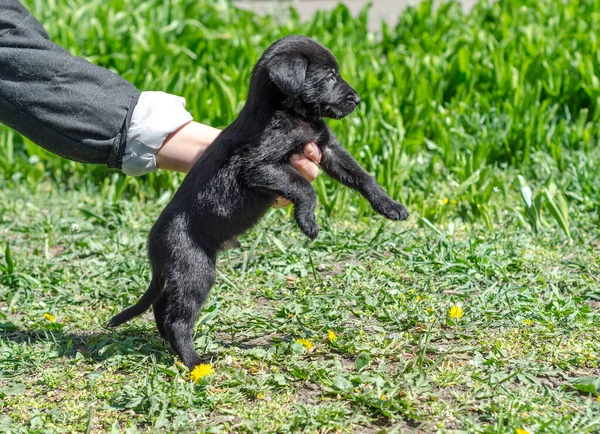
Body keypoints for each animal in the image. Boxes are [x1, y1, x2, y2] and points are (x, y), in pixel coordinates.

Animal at [106, 35, 408, 368]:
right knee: (177, 319)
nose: (357, 99)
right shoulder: (256, 165)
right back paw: (196, 361)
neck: (286, 112)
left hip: (180, 275)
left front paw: (391, 206)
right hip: (194, 270)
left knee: (163, 307)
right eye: (329, 76)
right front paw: (308, 222)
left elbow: (362, 176)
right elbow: (304, 187)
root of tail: (154, 246)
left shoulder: (327, 148)